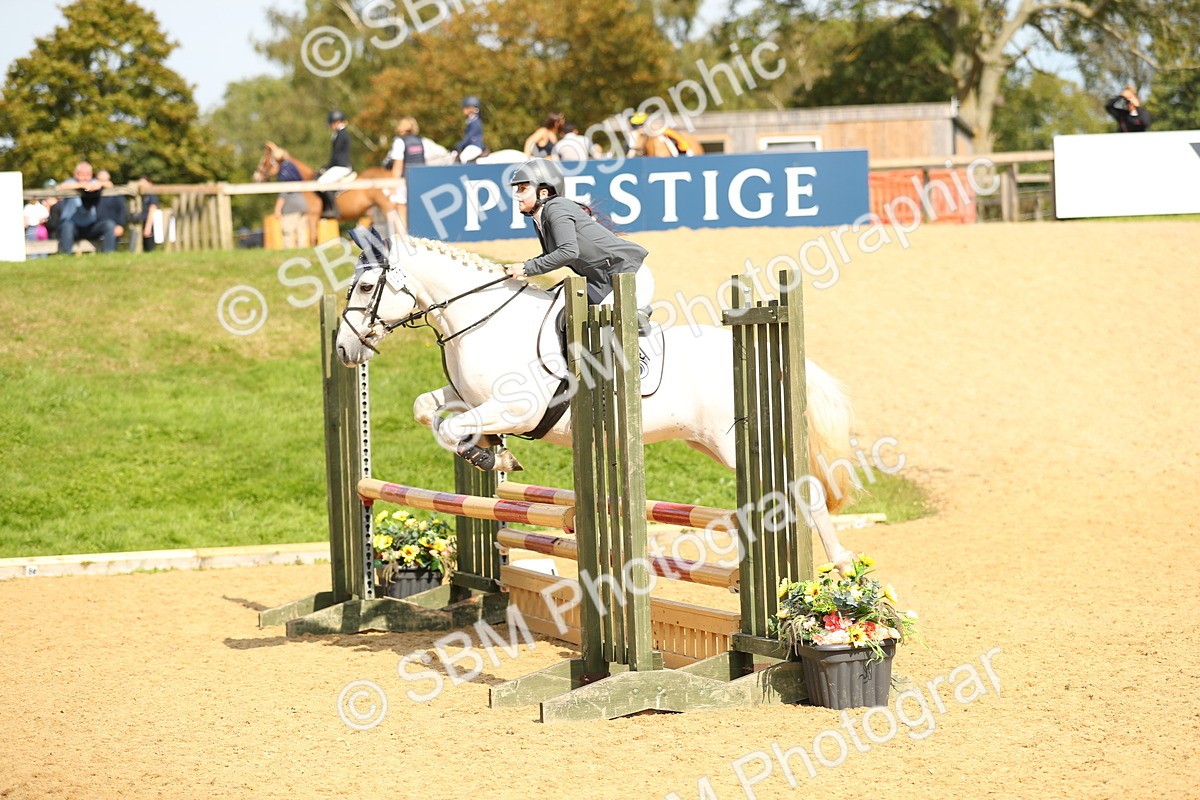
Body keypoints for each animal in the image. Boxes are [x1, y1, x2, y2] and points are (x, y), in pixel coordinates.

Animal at [334, 236, 858, 565]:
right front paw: (492, 451)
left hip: (737, 444)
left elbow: (450, 428)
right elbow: (428, 408)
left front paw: (490, 454)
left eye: (367, 287)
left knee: (805, 492)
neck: (484, 319)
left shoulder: (521, 409)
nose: (343, 349)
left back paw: (838, 565)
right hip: (709, 443)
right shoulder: (472, 396)